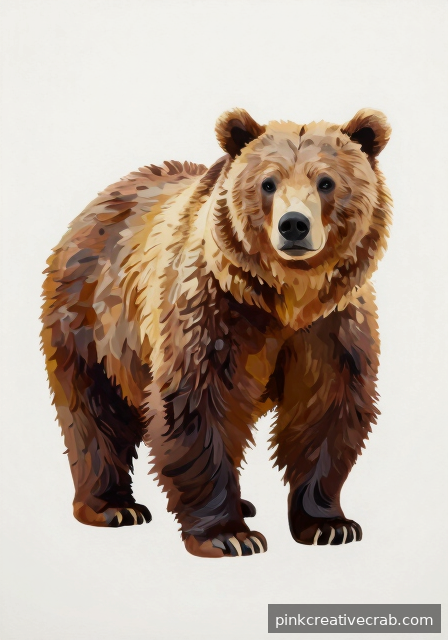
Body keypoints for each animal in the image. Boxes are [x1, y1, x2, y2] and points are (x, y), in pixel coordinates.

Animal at [41, 107, 392, 558]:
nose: (294, 225)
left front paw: (328, 524)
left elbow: (325, 406)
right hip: (92, 319)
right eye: (268, 182)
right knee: (96, 409)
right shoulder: (210, 310)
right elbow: (195, 404)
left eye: (326, 181)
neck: (287, 298)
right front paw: (228, 535)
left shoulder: (332, 327)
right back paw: (113, 506)